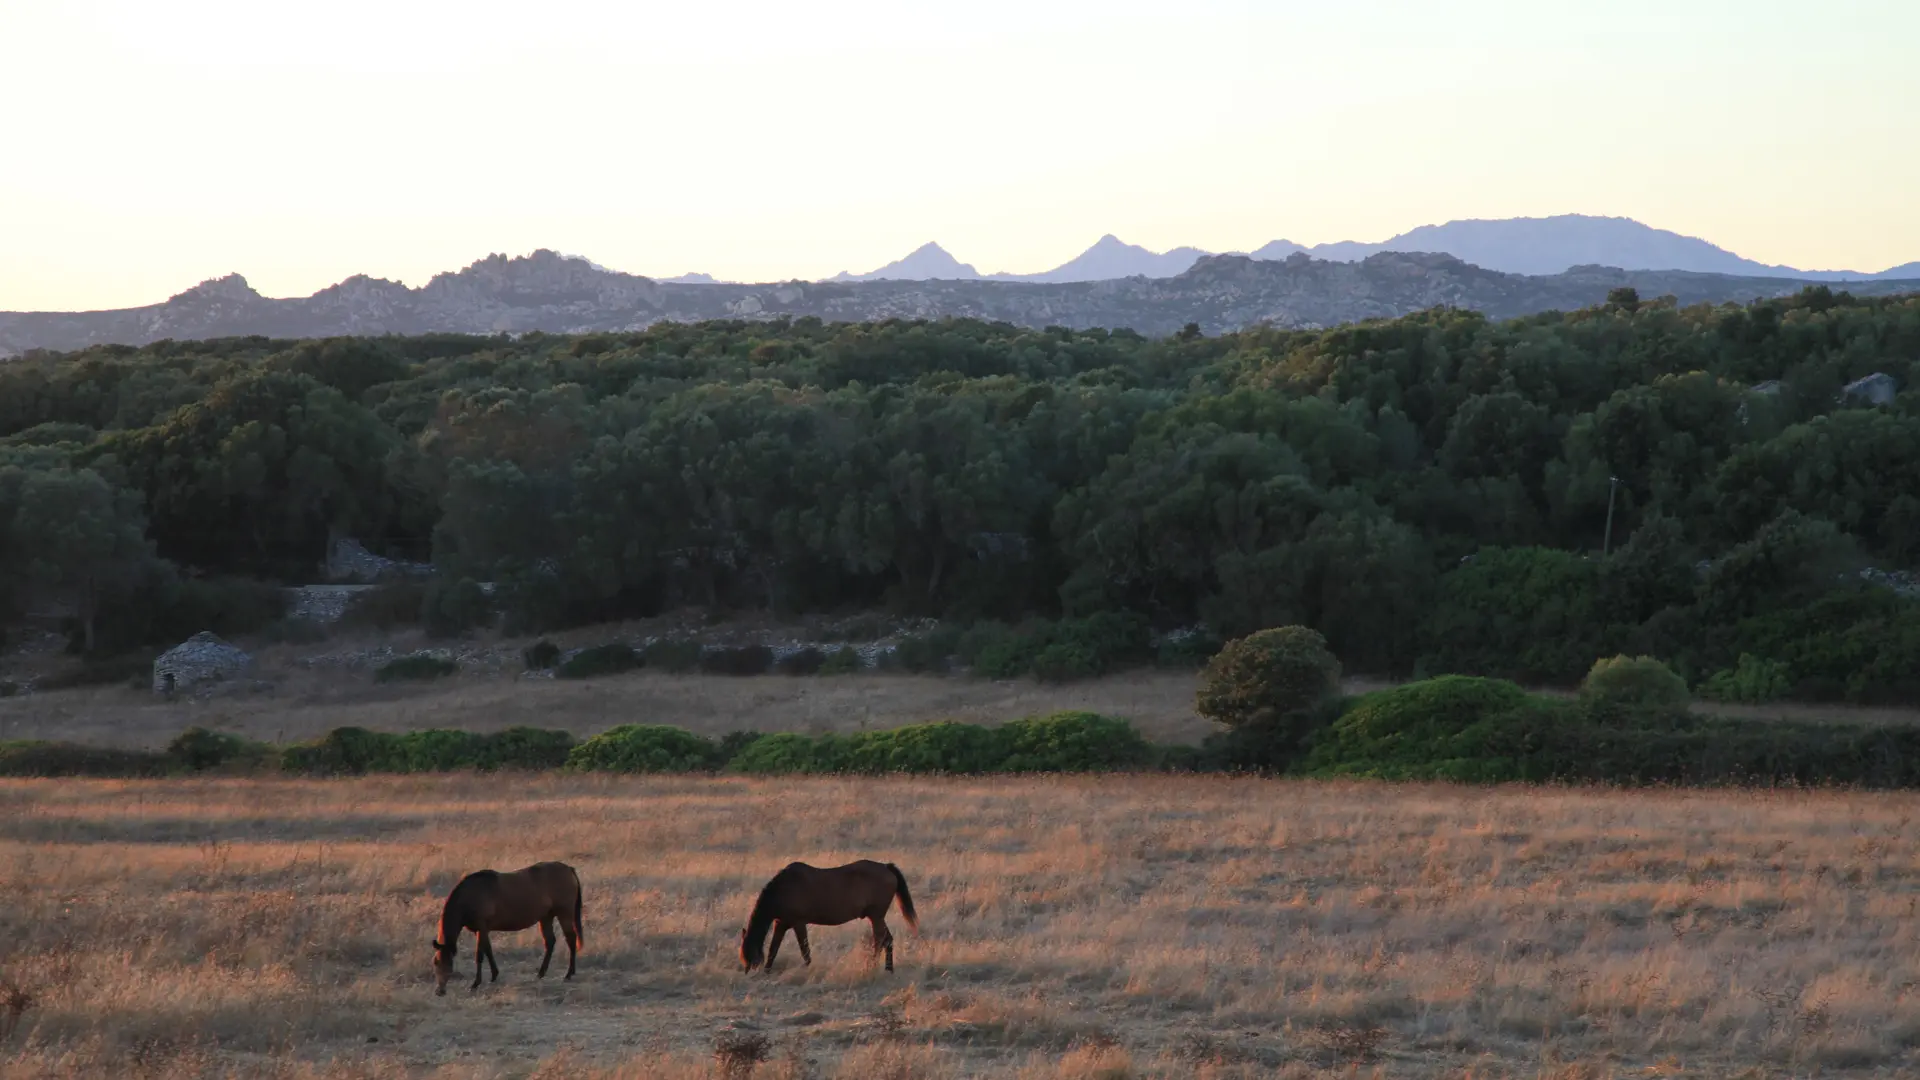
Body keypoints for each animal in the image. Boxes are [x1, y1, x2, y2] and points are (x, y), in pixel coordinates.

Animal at [432, 857, 579, 991]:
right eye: (435, 962)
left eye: (448, 964)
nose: (440, 991)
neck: (470, 895)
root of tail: (568, 869)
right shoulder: (482, 930)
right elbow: (488, 950)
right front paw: (494, 975)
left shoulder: (482, 927)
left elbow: (479, 955)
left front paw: (476, 983)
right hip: (546, 917)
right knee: (550, 942)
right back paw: (541, 974)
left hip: (564, 914)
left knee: (571, 939)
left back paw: (568, 974)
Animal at [733, 853, 913, 972]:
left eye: (749, 955)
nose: (748, 971)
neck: (783, 889)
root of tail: (886, 867)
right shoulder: (781, 924)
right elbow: (773, 949)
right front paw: (768, 970)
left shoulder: (799, 923)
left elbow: (804, 950)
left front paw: (808, 968)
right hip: (877, 917)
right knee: (887, 940)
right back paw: (888, 969)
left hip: (876, 917)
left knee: (879, 940)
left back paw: (872, 966)